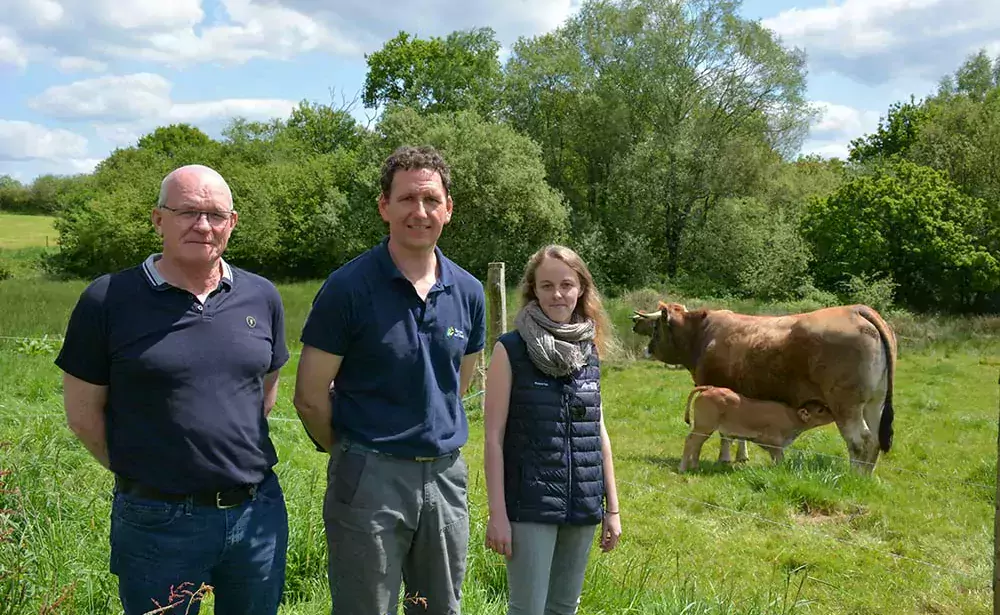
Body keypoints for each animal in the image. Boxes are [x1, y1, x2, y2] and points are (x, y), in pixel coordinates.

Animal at [680, 388, 836, 474]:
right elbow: (779, 459)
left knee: (697, 444)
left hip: (703, 428)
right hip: (704, 426)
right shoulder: (774, 442)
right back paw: (683, 468)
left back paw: (695, 467)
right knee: (690, 441)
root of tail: (709, 388)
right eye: (820, 410)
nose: (833, 414)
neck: (791, 417)